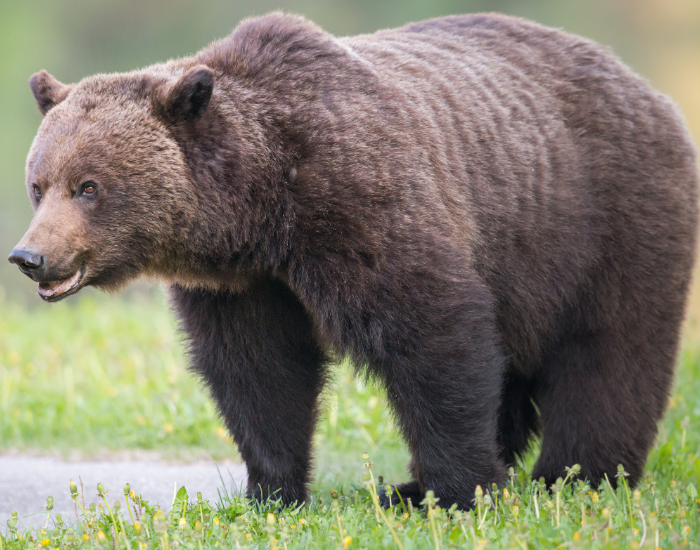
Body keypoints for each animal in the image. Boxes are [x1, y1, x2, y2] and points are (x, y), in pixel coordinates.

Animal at [8, 12, 698, 510]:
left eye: (89, 186)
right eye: (39, 184)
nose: (29, 255)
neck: (262, 210)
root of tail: (647, 89)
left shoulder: (361, 203)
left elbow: (433, 332)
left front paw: (463, 491)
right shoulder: (245, 285)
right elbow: (259, 372)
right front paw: (271, 491)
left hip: (604, 219)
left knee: (609, 353)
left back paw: (576, 476)